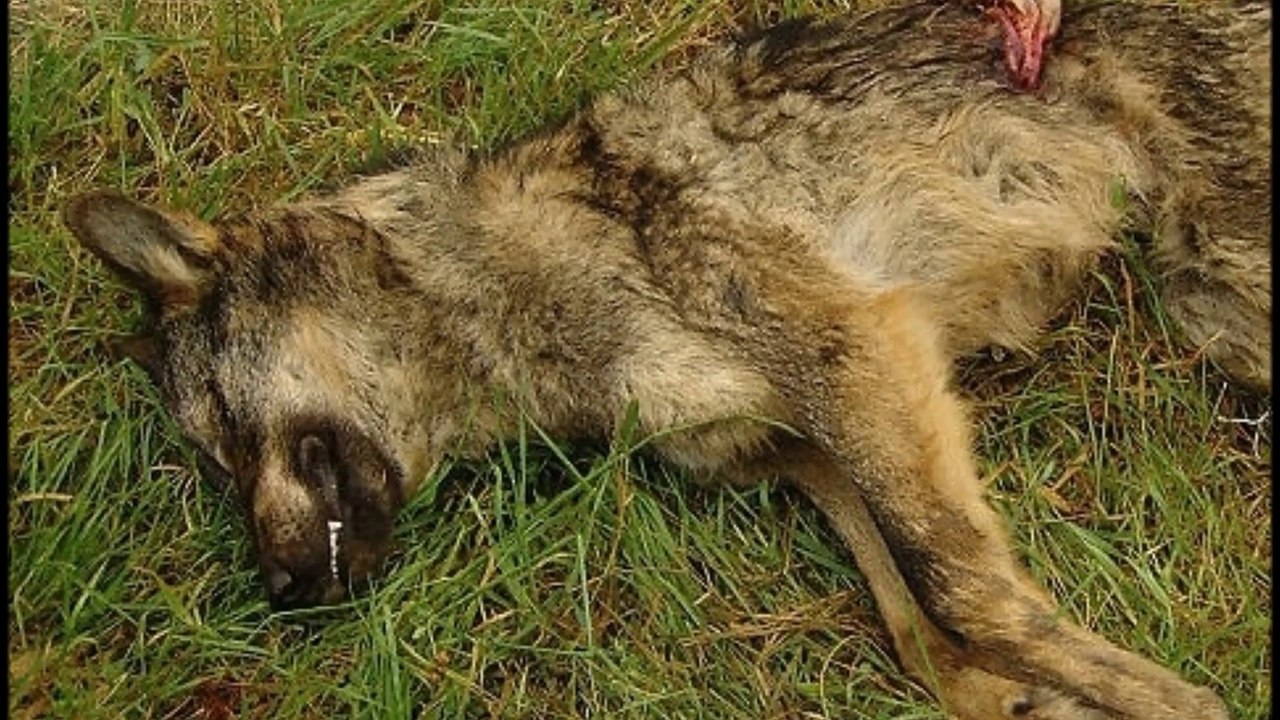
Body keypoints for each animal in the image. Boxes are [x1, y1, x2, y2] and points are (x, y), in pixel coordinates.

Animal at [63, 1, 1269, 718]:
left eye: (223, 435)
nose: (277, 593)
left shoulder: (857, 352)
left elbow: (958, 588)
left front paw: (1164, 703)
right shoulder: (792, 448)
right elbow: (908, 620)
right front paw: (1010, 697)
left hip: (1222, 280)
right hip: (1213, 302)